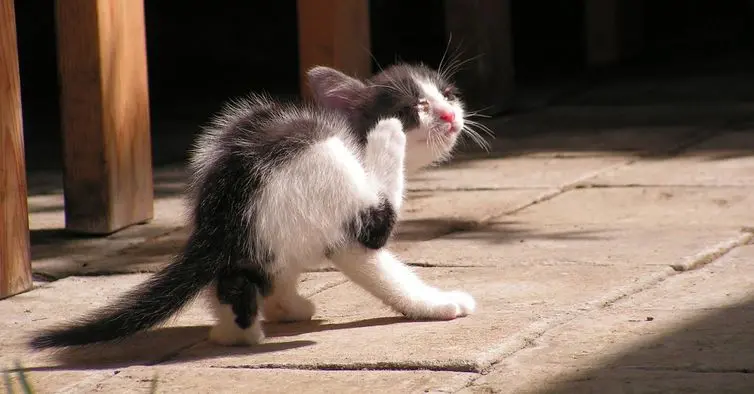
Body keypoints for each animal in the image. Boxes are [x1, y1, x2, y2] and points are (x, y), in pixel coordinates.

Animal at [30, 63, 476, 350]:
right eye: (414, 106)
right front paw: (436, 304)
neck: (352, 131)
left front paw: (285, 306)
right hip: (324, 171)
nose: (451, 115)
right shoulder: (349, 221)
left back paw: (232, 331)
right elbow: (383, 266)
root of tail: (225, 203)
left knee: (237, 276)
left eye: (449, 94)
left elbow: (283, 274)